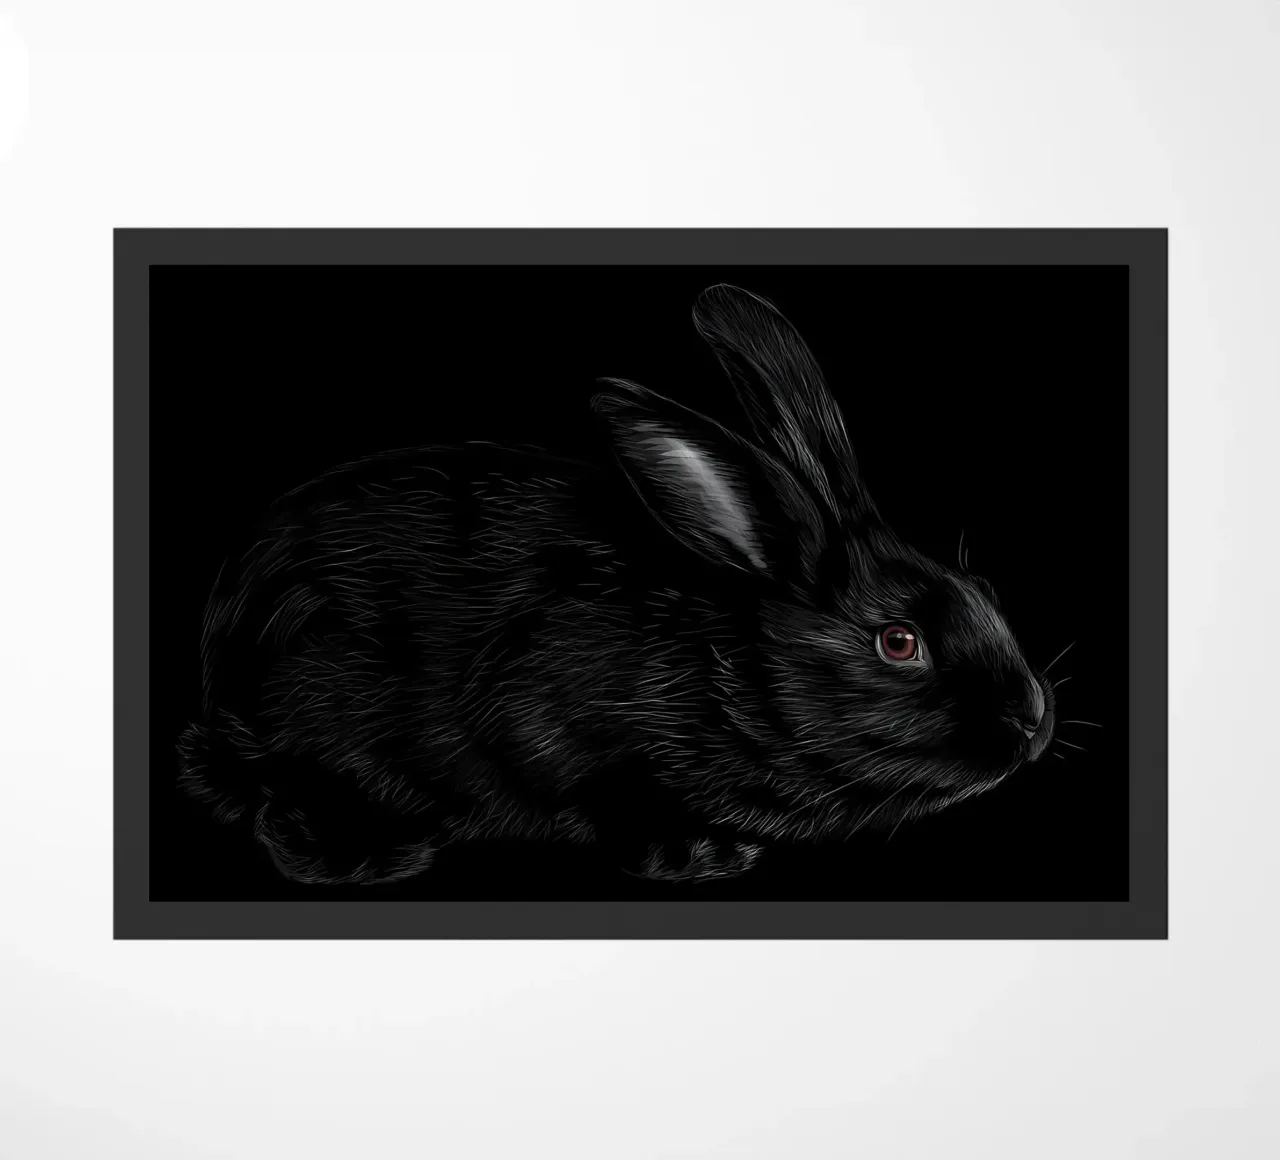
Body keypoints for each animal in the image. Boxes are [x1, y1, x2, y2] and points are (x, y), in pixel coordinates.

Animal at [176, 283, 1055, 887]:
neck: (729, 664)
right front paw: (703, 853)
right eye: (899, 642)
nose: (1031, 723)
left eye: (984, 588)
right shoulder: (550, 720)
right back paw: (366, 853)